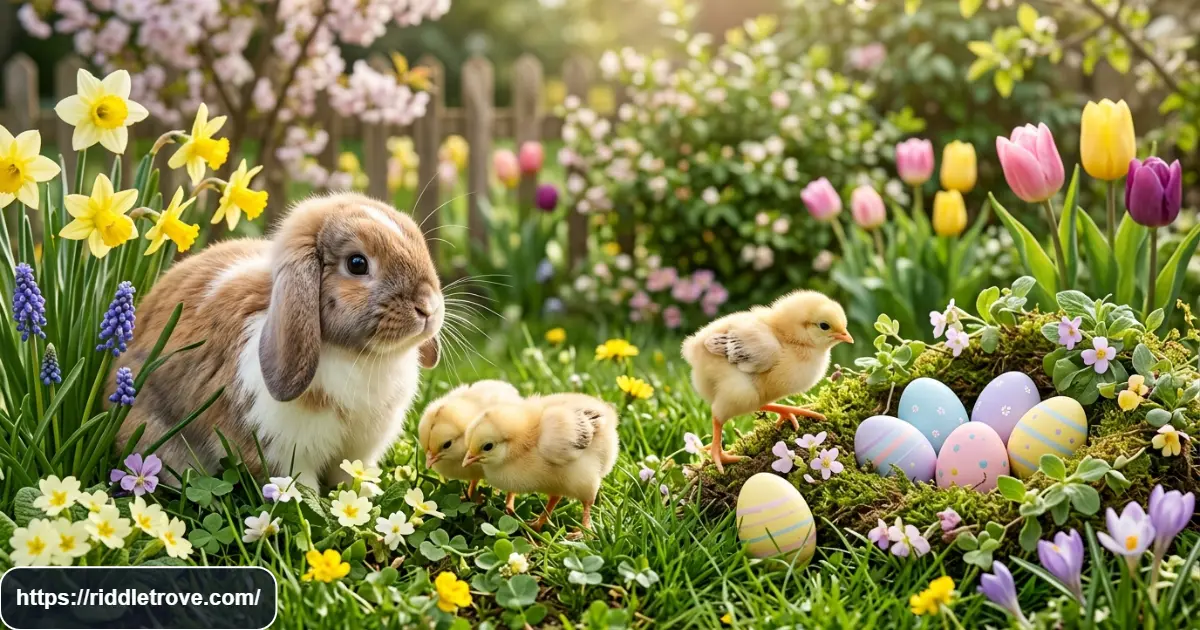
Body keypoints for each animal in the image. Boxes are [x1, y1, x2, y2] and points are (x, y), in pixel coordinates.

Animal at [111, 192, 443, 490]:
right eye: (357, 263)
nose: (427, 307)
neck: (357, 355)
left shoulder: (359, 449)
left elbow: (352, 475)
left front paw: (370, 497)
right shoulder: (284, 450)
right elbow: (300, 486)